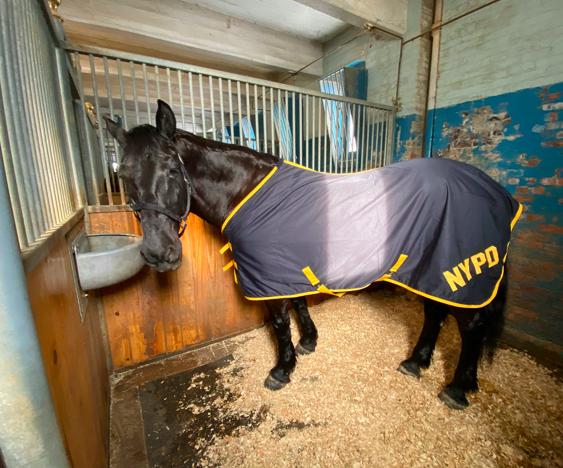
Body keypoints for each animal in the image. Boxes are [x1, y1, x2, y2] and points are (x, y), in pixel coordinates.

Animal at [104, 99, 506, 410]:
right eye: (123, 175)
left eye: (173, 169)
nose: (158, 253)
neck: (247, 192)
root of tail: (494, 190)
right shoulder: (285, 266)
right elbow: (299, 305)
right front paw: (308, 342)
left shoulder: (268, 272)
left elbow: (281, 320)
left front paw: (282, 369)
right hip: (430, 268)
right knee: (436, 312)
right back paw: (416, 362)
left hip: (457, 267)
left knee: (470, 324)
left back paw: (456, 388)